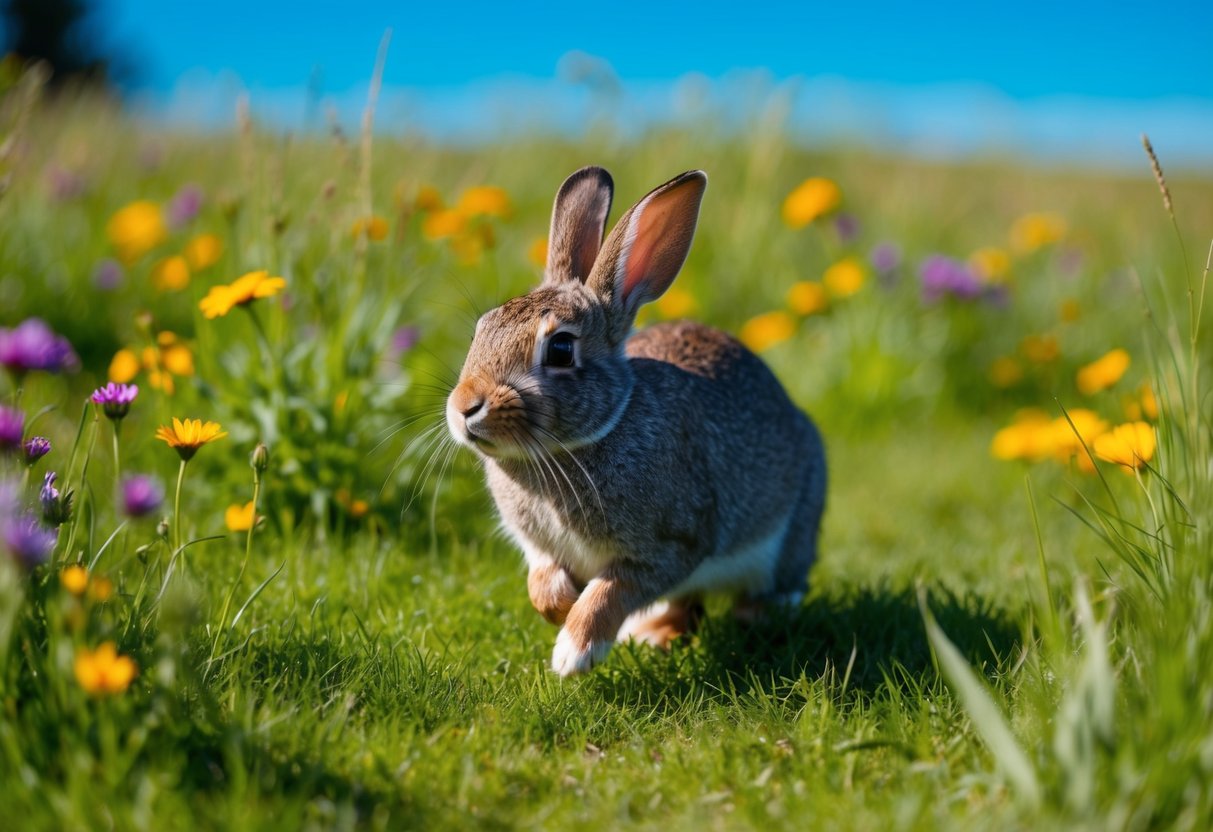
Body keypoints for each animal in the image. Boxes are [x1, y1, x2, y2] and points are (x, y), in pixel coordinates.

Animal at [446, 166, 827, 676]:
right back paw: (650, 633)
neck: (583, 441)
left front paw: (573, 651)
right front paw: (561, 607)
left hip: (793, 526)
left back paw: (754, 613)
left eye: (561, 349)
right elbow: (542, 583)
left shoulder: (671, 544)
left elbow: (612, 591)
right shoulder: (539, 548)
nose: (464, 406)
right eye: (481, 329)